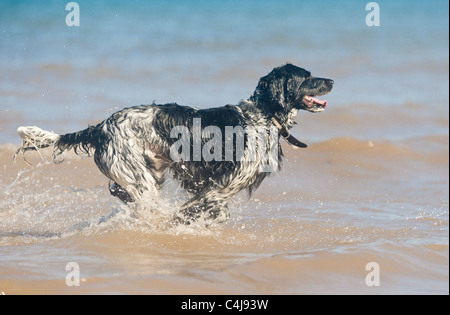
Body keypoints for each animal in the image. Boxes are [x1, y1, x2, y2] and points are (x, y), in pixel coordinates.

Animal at [16, 63, 334, 223]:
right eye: (307, 78)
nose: (331, 80)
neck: (263, 114)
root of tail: (100, 127)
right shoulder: (219, 187)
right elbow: (204, 209)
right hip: (140, 178)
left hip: (150, 173)